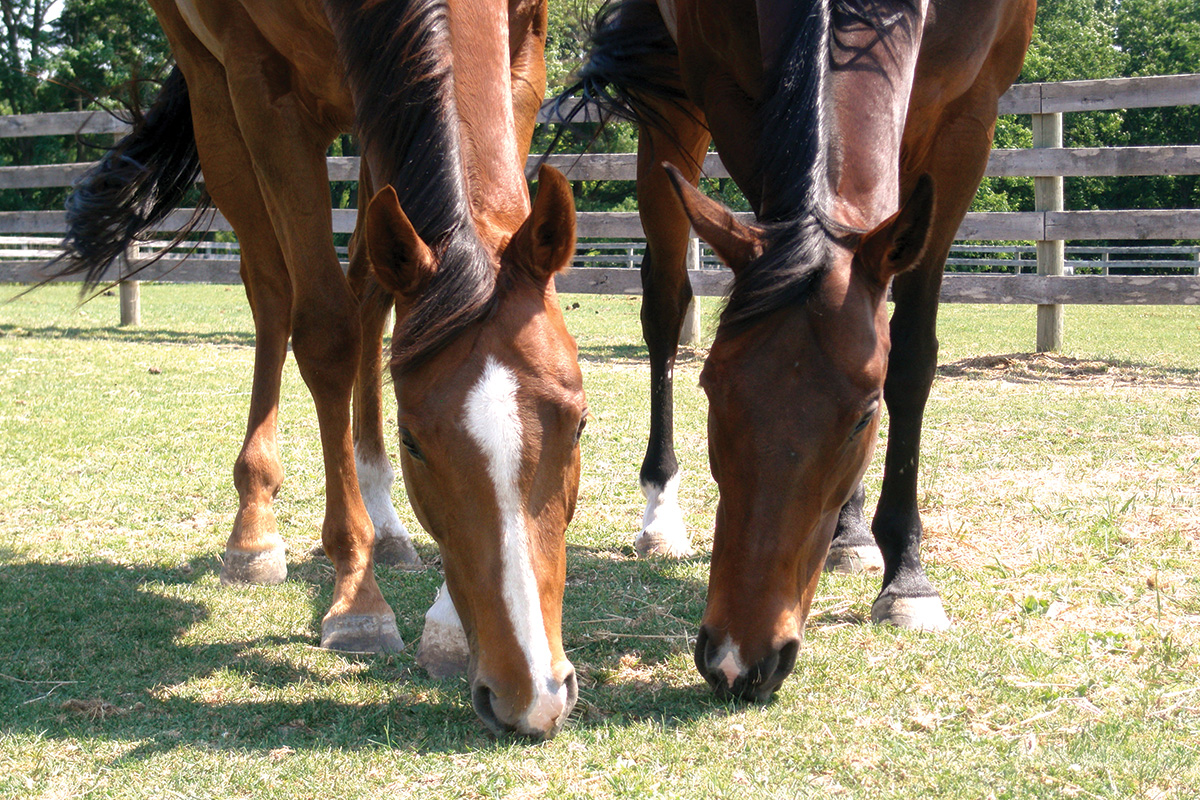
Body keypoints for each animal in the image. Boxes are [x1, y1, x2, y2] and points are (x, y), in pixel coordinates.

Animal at [59, 0, 585, 738]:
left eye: (580, 424)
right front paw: (360, 604)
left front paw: (446, 624)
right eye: (415, 444)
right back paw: (255, 529)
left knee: (370, 292)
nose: (531, 692)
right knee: (272, 288)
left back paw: (386, 526)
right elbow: (324, 333)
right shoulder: (264, 90)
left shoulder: (523, 52)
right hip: (218, 100)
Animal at [556, 0, 1036, 700]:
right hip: (675, 110)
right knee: (665, 303)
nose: (737, 662)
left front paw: (906, 574)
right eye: (712, 392)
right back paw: (661, 511)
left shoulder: (968, 118)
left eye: (864, 415)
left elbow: (911, 357)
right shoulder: (733, 92)